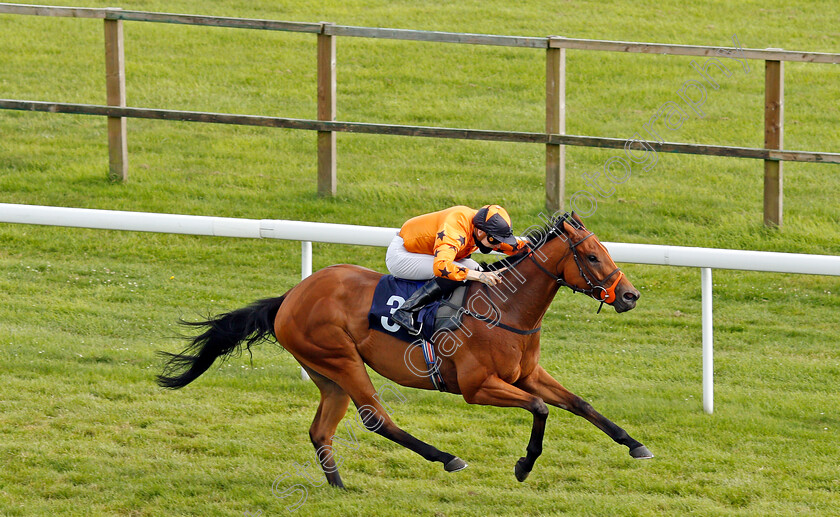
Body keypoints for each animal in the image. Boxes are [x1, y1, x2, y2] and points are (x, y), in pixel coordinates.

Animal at [159, 212, 656, 486]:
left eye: (605, 251)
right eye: (591, 257)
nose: (630, 296)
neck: (505, 309)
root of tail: (291, 296)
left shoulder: (526, 374)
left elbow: (581, 404)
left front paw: (635, 445)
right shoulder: (478, 387)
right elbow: (540, 408)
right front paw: (524, 465)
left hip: (327, 374)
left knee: (321, 431)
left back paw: (339, 487)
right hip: (341, 359)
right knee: (376, 418)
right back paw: (447, 458)